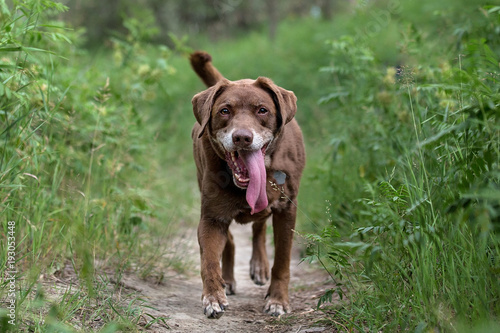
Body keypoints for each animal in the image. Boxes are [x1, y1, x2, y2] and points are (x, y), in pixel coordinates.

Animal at [189, 50, 304, 318]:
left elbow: (282, 261)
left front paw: (278, 300)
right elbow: (209, 260)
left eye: (262, 110)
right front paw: (213, 296)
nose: (242, 137)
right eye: (224, 111)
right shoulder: (211, 218)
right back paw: (228, 280)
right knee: (231, 240)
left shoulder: (287, 210)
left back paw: (259, 266)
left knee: (259, 228)